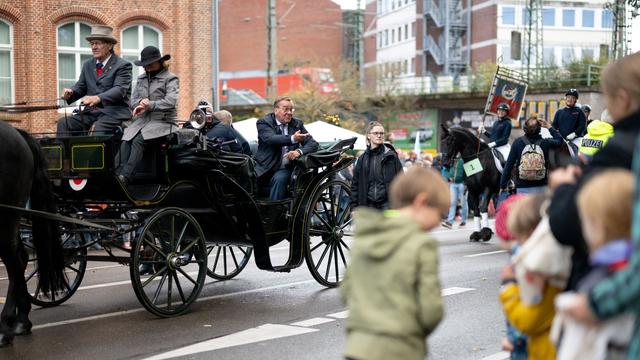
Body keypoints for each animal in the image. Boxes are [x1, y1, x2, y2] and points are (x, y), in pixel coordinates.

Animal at [0, 121, 64, 346]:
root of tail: (18, 133)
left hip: (8, 215)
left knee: (14, 262)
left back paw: (7, 327)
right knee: (20, 257)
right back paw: (20, 321)